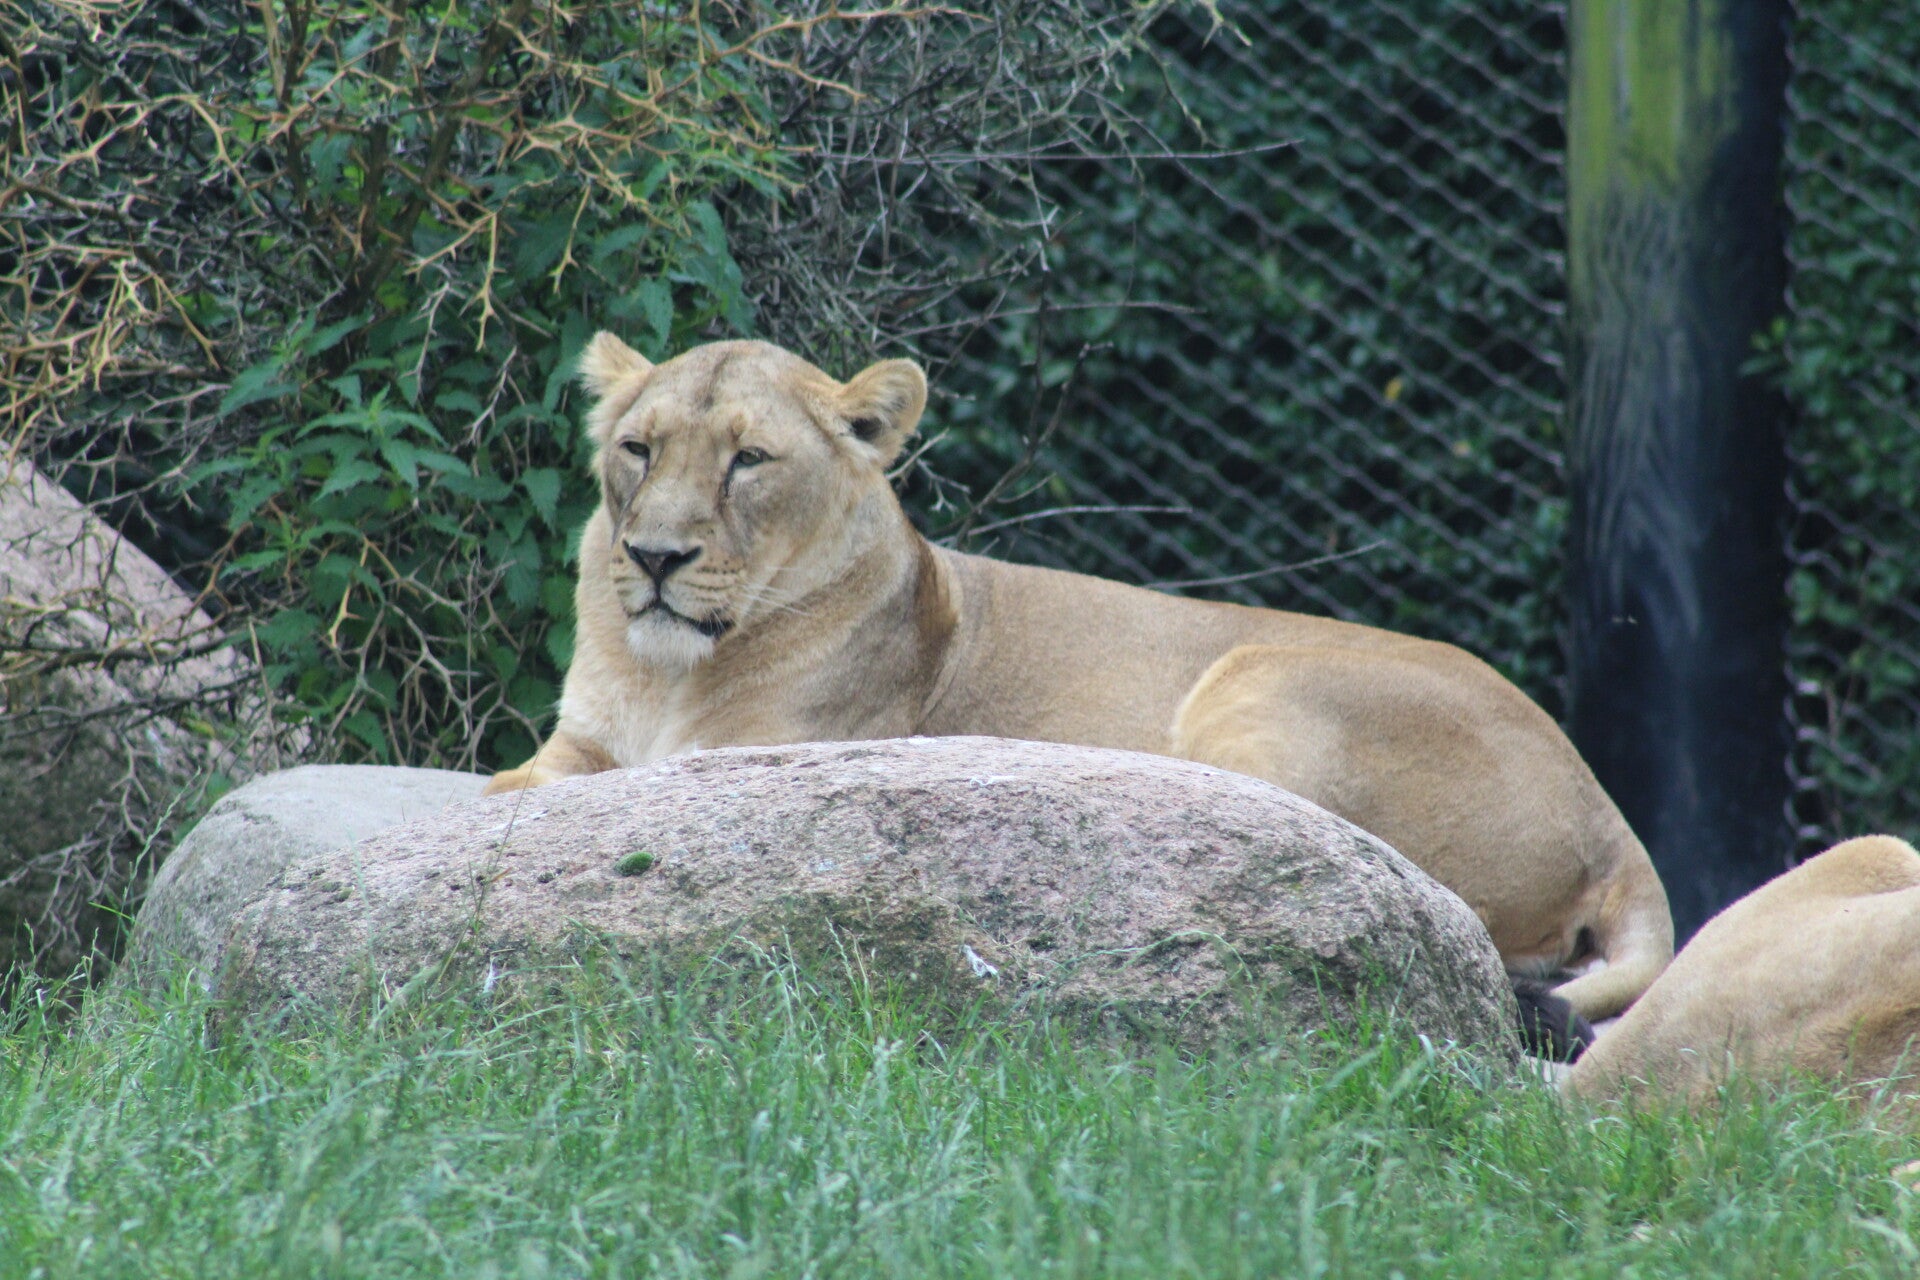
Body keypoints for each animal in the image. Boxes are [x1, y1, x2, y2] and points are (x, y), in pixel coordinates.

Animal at [486, 333, 1673, 1025]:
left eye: (748, 460)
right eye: (639, 449)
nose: (654, 558)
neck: (666, 672)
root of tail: (1611, 815)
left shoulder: (748, 757)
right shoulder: (583, 739)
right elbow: (514, 789)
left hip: (1262, 677)